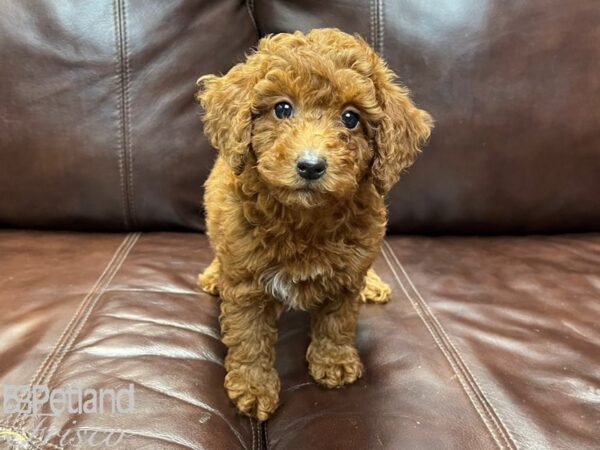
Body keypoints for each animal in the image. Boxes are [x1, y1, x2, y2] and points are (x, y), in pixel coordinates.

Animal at [196, 29, 432, 422]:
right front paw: (253, 388)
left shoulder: (346, 275)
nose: (310, 166)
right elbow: (249, 335)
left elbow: (337, 321)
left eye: (351, 118)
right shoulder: (245, 281)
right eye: (282, 108)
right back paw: (214, 276)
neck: (303, 219)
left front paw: (334, 362)